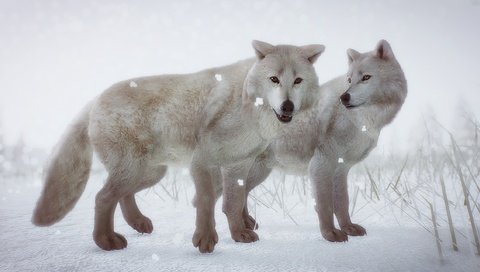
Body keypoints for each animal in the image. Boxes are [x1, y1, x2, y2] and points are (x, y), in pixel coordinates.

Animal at [31, 40, 326, 253]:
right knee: (102, 197)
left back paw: (138, 224)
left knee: (120, 196)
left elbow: (233, 203)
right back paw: (107, 242)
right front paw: (205, 241)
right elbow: (206, 202)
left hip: (150, 173)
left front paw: (239, 235)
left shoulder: (238, 166)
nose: (287, 106)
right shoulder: (203, 162)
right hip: (134, 170)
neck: (247, 104)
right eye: (274, 79)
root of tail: (95, 99)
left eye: (297, 80)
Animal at [222, 39, 408, 243]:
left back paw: (248, 224)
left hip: (260, 171)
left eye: (366, 77)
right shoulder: (321, 165)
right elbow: (325, 205)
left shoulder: (341, 169)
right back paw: (240, 234)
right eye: (349, 80)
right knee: (230, 202)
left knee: (242, 194)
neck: (361, 121)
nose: (344, 97)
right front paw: (331, 234)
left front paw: (349, 228)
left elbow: (342, 203)